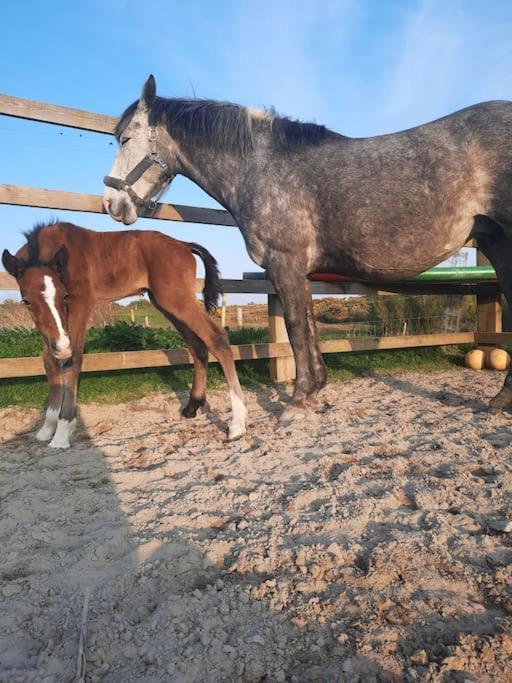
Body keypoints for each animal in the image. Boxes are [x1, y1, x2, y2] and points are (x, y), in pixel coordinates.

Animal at [1, 220, 246, 448]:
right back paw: (192, 406)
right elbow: (50, 361)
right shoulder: (54, 330)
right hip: (165, 303)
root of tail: (183, 245)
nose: (61, 346)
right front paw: (47, 427)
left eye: (64, 296)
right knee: (198, 346)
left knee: (217, 338)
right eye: (27, 301)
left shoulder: (81, 302)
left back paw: (237, 424)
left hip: (175, 299)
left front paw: (62, 432)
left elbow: (73, 360)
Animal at [103, 77, 512, 422]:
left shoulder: (284, 264)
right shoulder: (301, 271)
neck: (262, 168)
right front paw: (315, 392)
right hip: (497, 244)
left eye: (124, 140)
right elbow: (310, 327)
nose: (111, 204)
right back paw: (499, 401)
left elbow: (296, 328)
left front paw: (297, 401)